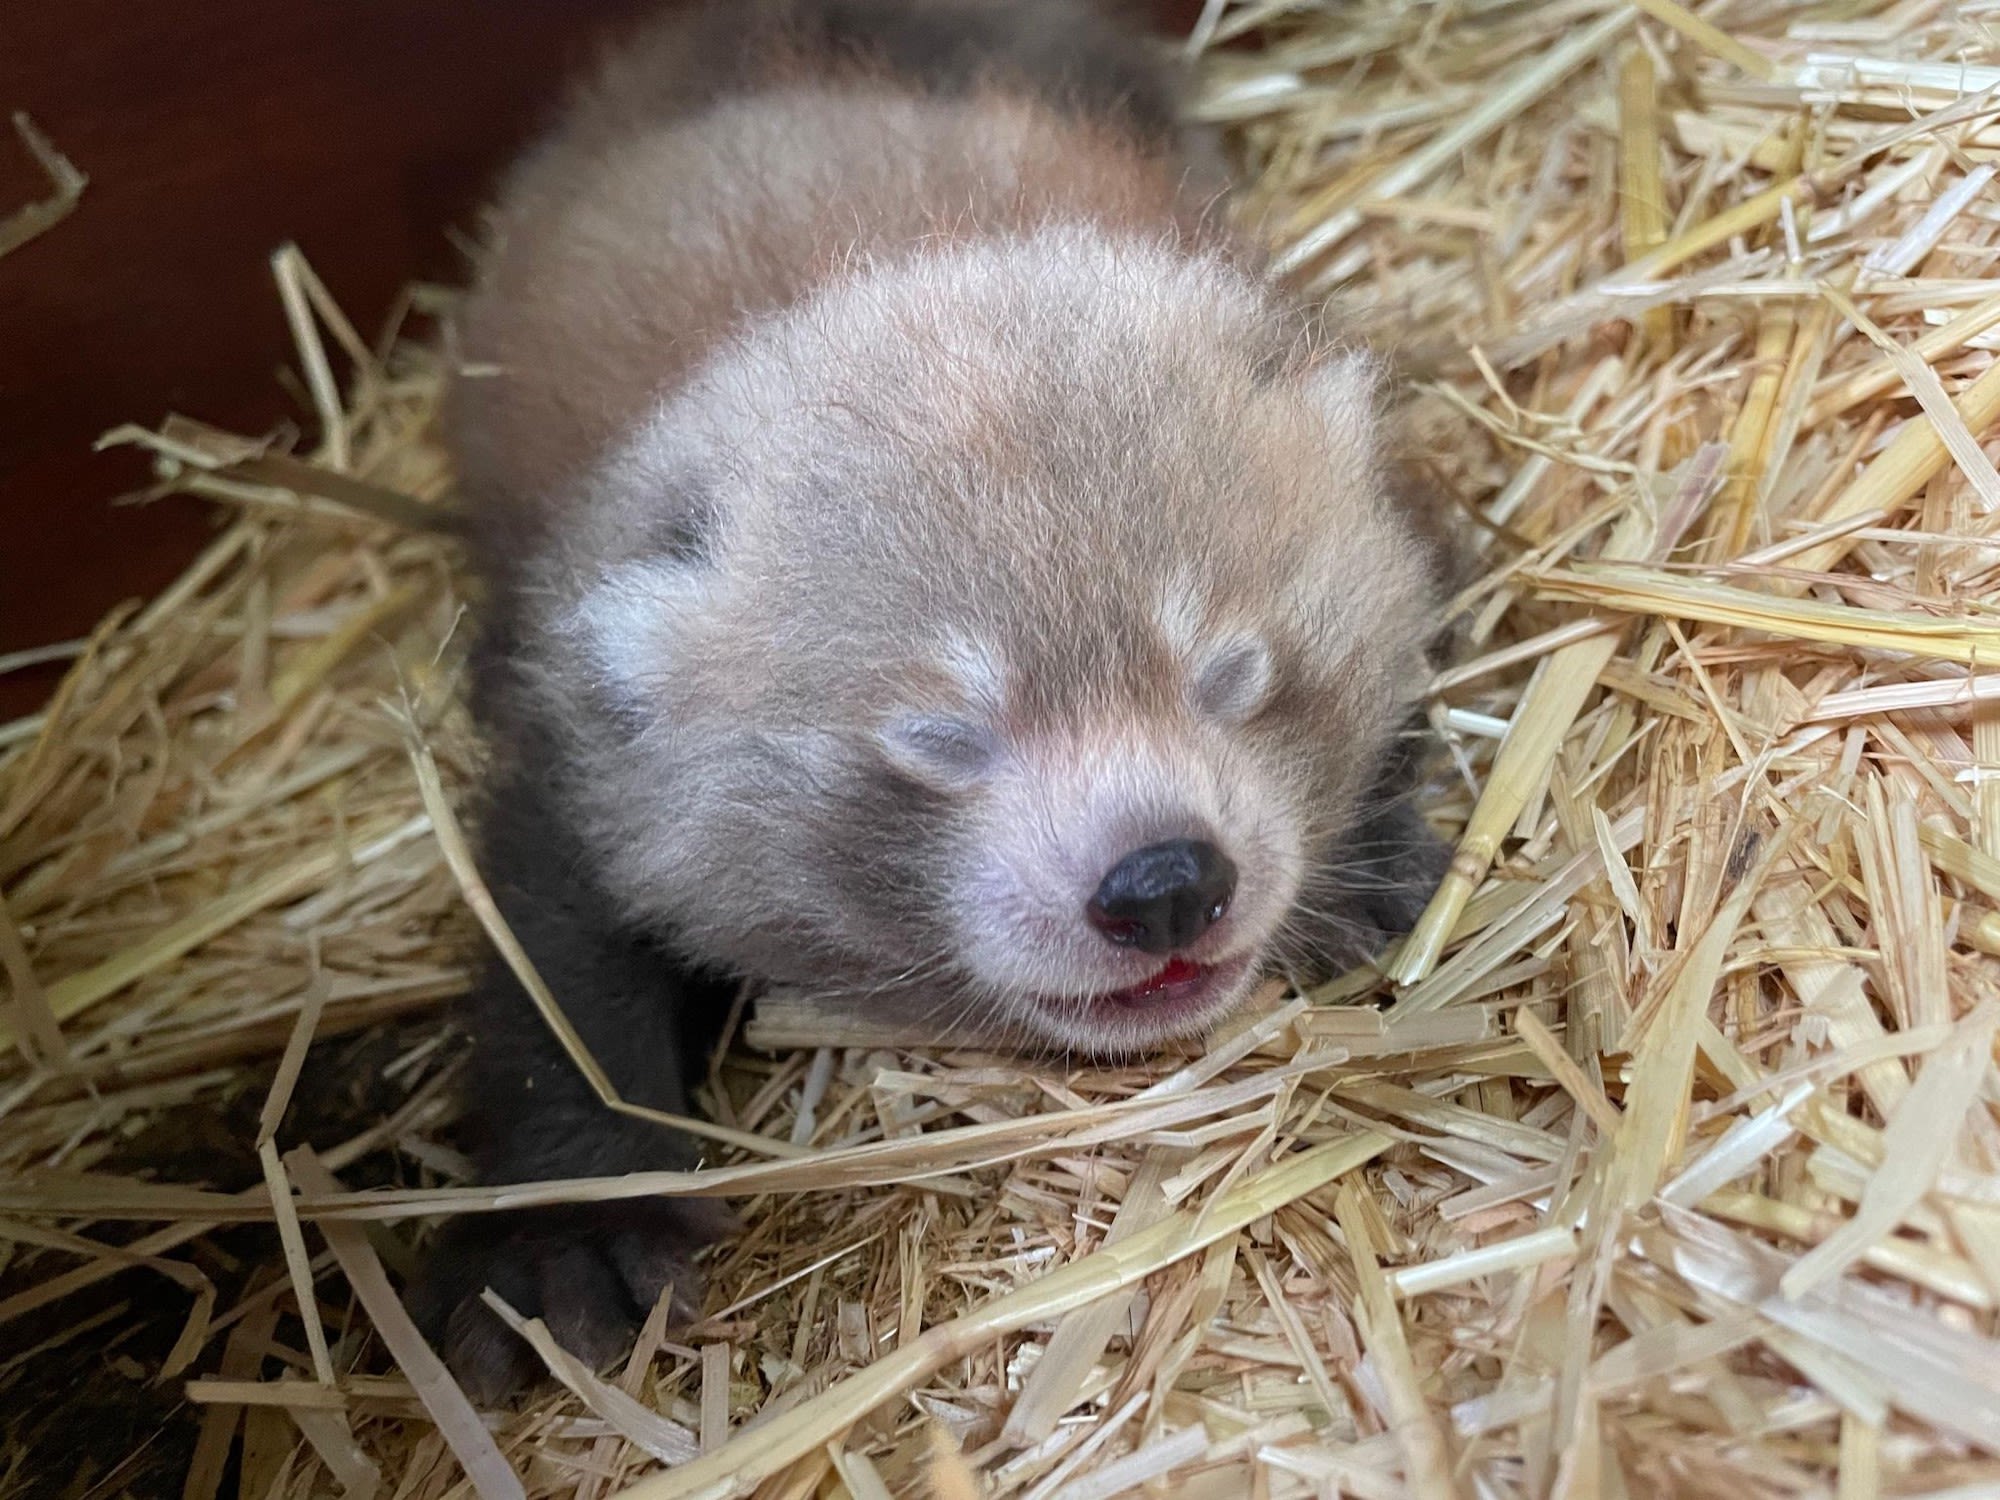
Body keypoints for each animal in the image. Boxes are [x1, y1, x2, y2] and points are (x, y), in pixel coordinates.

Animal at [414, 0, 1456, 1408]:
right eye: (942, 741)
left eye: (1232, 675)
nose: (1163, 882)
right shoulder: (573, 743)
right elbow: (551, 975)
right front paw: (567, 1229)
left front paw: (1370, 856)